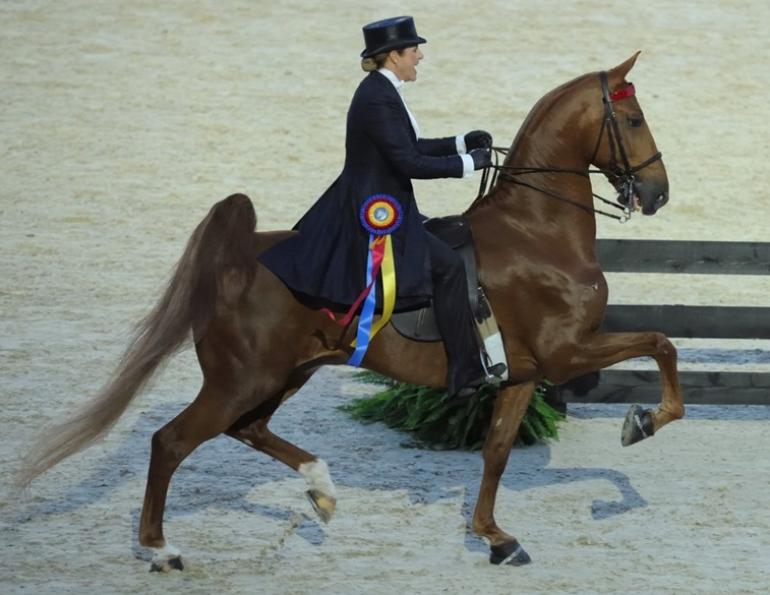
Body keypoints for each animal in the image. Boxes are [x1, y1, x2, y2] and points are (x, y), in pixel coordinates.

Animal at [17, 52, 683, 570]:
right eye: (632, 119)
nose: (657, 195)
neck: (536, 231)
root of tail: (236, 261)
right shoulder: (565, 353)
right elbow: (661, 343)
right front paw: (643, 421)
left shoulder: (522, 374)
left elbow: (495, 453)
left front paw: (495, 539)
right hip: (243, 379)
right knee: (172, 441)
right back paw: (161, 550)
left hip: (284, 374)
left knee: (246, 430)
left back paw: (321, 489)